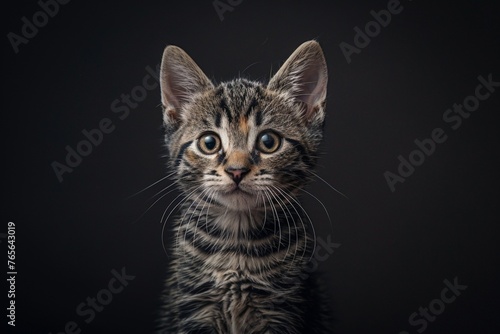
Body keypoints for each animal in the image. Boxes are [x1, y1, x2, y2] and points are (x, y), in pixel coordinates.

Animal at [156, 40, 332, 332]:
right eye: (209, 143)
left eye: (268, 141)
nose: (236, 170)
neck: (236, 241)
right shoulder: (193, 307)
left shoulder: (284, 308)